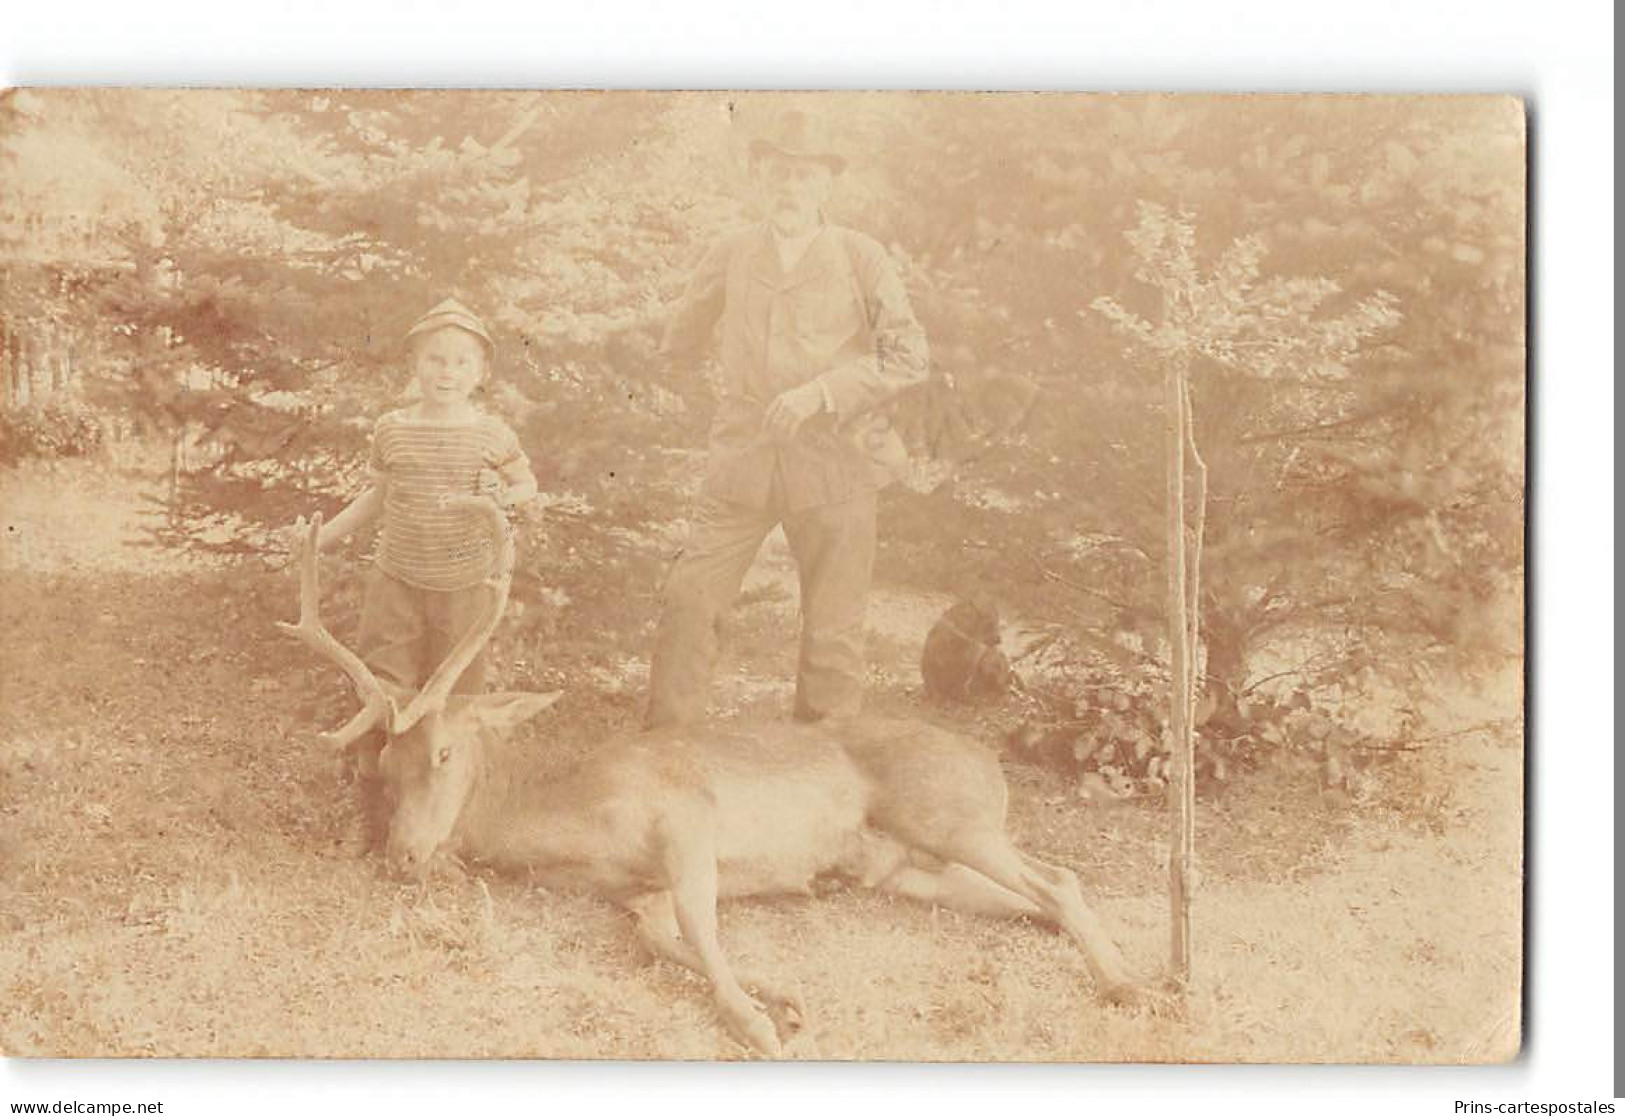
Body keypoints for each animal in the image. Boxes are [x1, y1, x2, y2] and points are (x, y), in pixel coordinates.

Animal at [279, 503, 1137, 1059]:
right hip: (913, 869)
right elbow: (664, 936)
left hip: (949, 816)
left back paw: (1126, 984)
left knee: (1060, 880)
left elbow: (697, 923)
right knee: (1037, 899)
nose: (401, 856)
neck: (568, 820)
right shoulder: (638, 888)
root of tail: (989, 763)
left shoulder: (685, 813)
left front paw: (756, 1024)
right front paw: (779, 999)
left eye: (446, 754)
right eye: (384, 766)